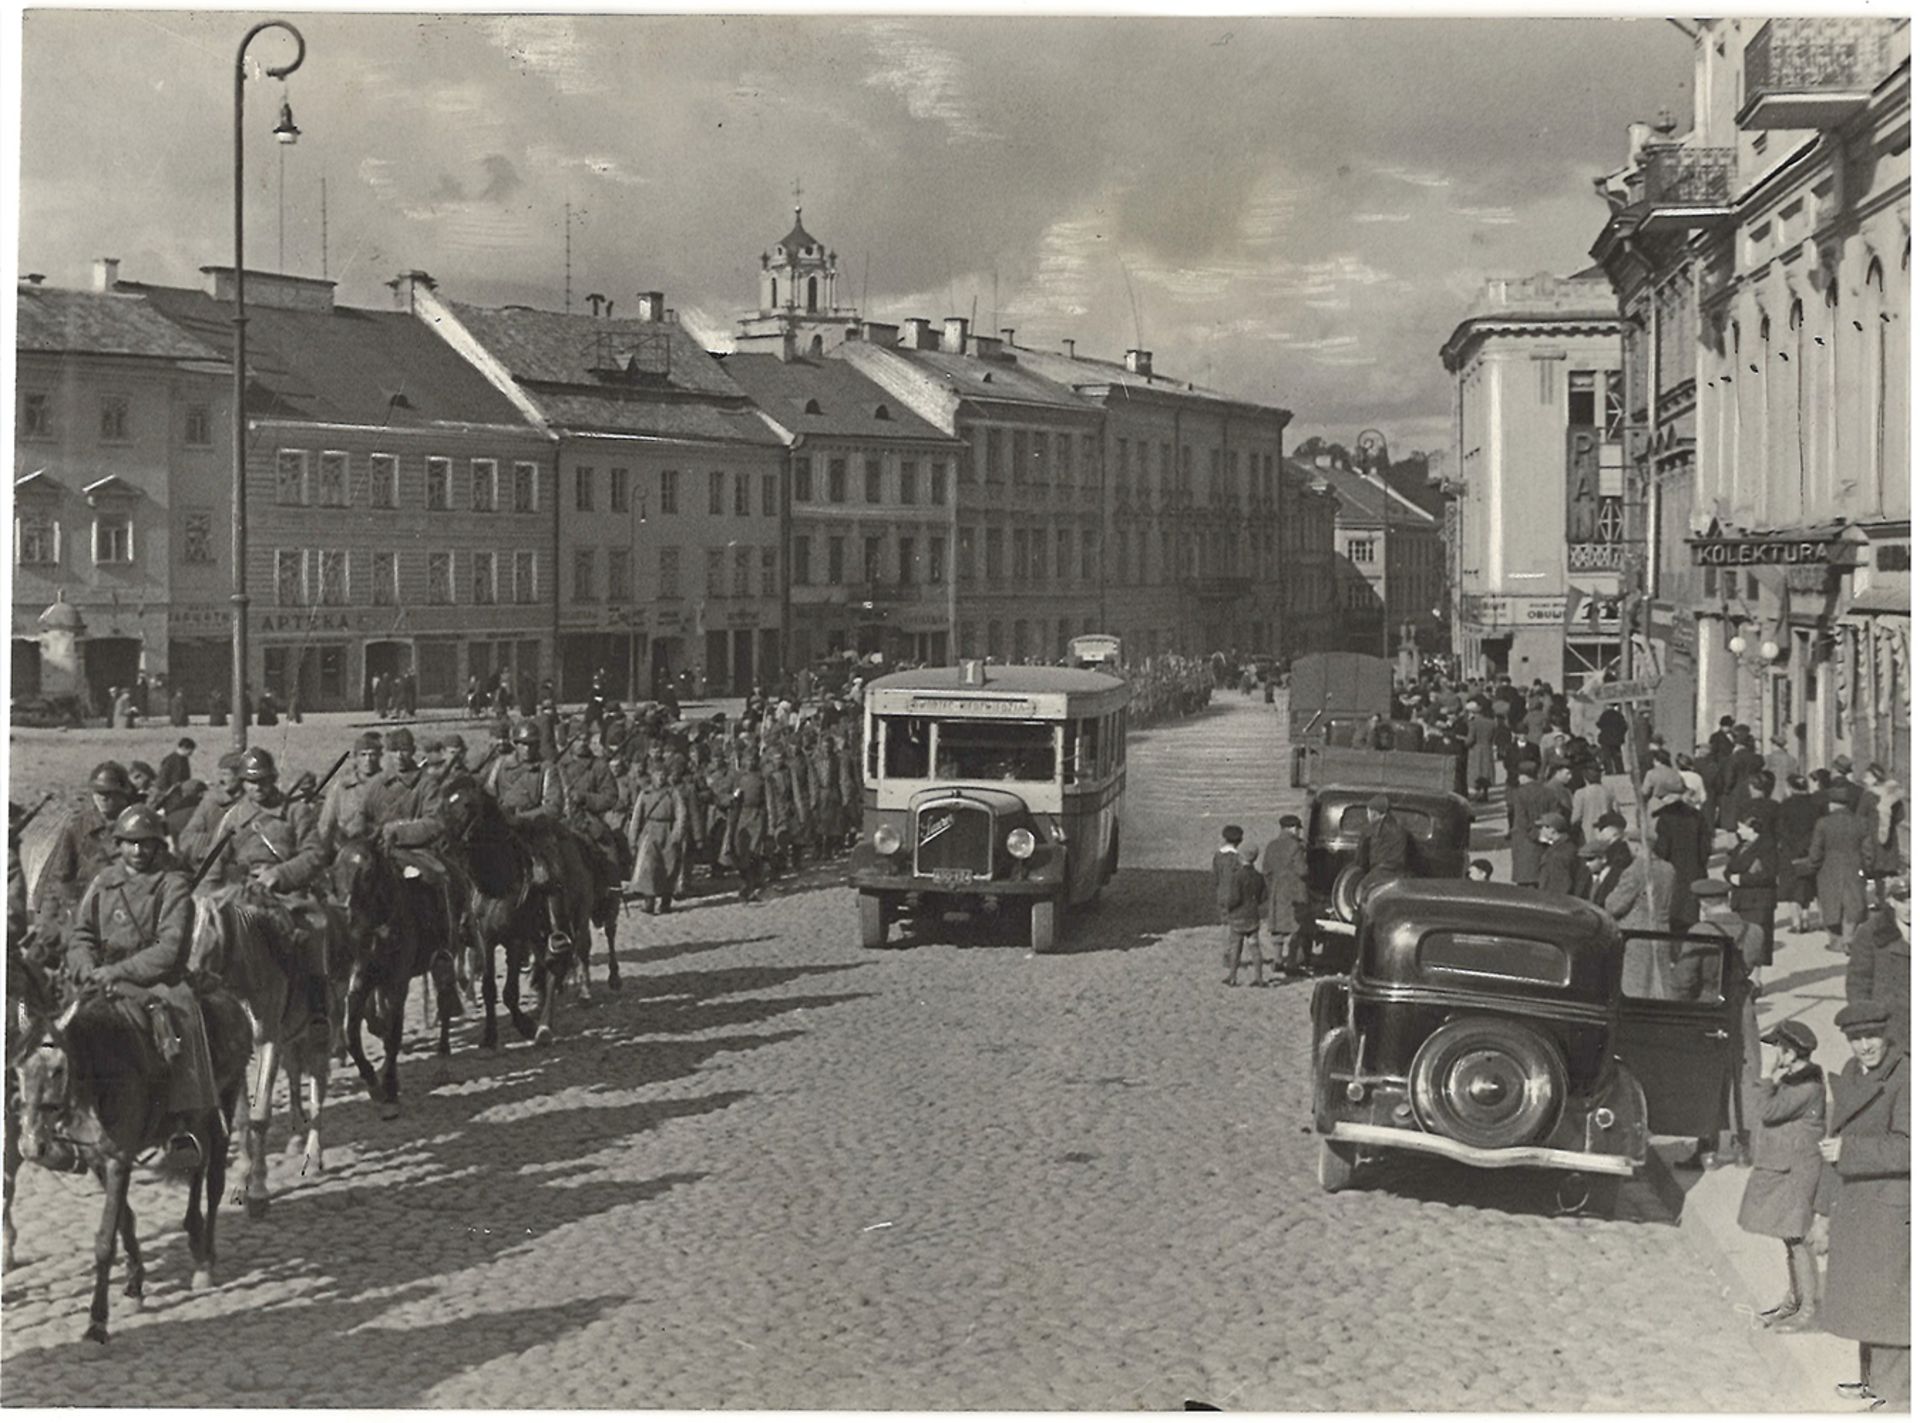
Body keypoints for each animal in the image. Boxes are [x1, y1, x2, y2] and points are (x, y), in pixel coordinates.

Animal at [7, 944, 251, 1344]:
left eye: (58, 1070)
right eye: (18, 1069)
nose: (30, 1144)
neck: (99, 1076)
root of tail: (228, 996)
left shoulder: (118, 1159)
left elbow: (106, 1239)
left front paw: (97, 1320)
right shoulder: (96, 1159)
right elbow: (125, 1219)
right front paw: (135, 1283)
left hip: (226, 1101)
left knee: (213, 1180)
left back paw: (205, 1258)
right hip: (199, 1120)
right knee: (196, 1168)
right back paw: (194, 1235)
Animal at [189, 887, 339, 1213]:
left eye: (213, 937)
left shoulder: (270, 1040)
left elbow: (259, 1116)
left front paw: (258, 1190)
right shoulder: (242, 1055)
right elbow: (243, 1119)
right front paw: (240, 1182)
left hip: (318, 1037)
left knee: (318, 1089)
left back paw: (312, 1157)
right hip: (292, 1042)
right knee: (295, 1074)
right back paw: (296, 1138)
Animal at [330, 837, 464, 1113]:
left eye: (367, 873)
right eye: (334, 872)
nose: (344, 916)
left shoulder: (397, 983)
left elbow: (393, 1032)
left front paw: (390, 1087)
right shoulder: (360, 982)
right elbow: (352, 1034)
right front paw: (373, 1081)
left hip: (445, 957)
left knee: (444, 1000)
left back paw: (443, 1055)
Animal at [439, 787, 595, 1044]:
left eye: (468, 805)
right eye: (446, 805)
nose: (443, 845)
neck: (499, 884)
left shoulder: (516, 940)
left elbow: (510, 992)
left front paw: (526, 1026)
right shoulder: (485, 939)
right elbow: (489, 988)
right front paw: (490, 1035)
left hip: (575, 917)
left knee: (562, 961)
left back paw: (545, 1026)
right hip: (539, 935)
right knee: (547, 965)